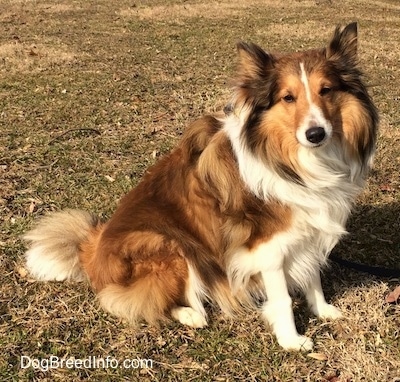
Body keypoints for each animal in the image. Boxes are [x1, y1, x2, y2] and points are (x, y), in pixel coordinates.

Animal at [24, 23, 378, 352]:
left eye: (326, 90)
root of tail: (92, 249)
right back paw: (190, 314)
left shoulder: (310, 227)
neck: (291, 160)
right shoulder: (268, 247)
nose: (315, 134)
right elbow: (282, 298)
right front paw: (291, 341)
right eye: (287, 98)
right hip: (169, 245)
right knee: (140, 300)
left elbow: (313, 276)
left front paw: (323, 310)